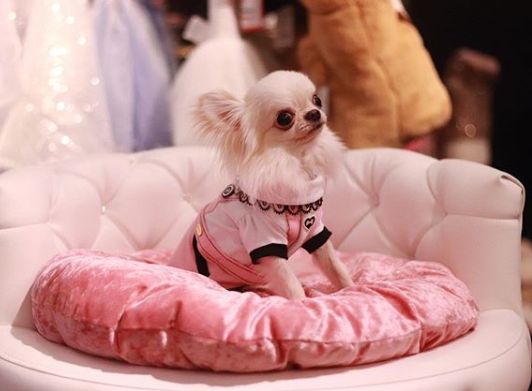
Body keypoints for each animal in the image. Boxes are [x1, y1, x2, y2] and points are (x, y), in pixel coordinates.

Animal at [174, 70, 354, 300]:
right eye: (284, 118)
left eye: (317, 100)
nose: (314, 113)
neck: (295, 163)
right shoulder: (265, 243)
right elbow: (291, 282)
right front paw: (301, 303)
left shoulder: (316, 232)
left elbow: (335, 266)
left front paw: (352, 289)